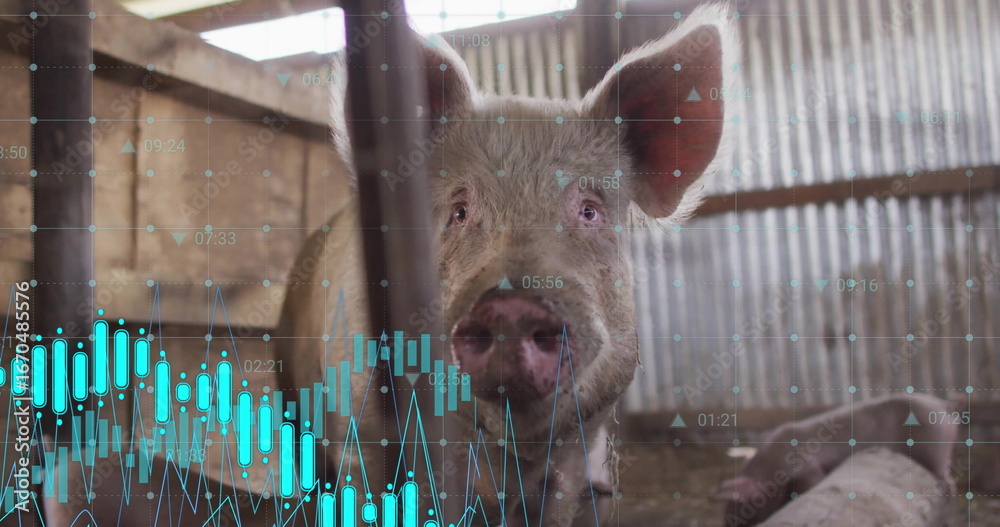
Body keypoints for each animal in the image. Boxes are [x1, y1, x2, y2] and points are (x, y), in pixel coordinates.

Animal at [715, 393, 960, 527]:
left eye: (743, 505)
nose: (727, 523)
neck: (771, 467)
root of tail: (942, 404)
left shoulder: (808, 469)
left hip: (935, 449)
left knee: (948, 484)